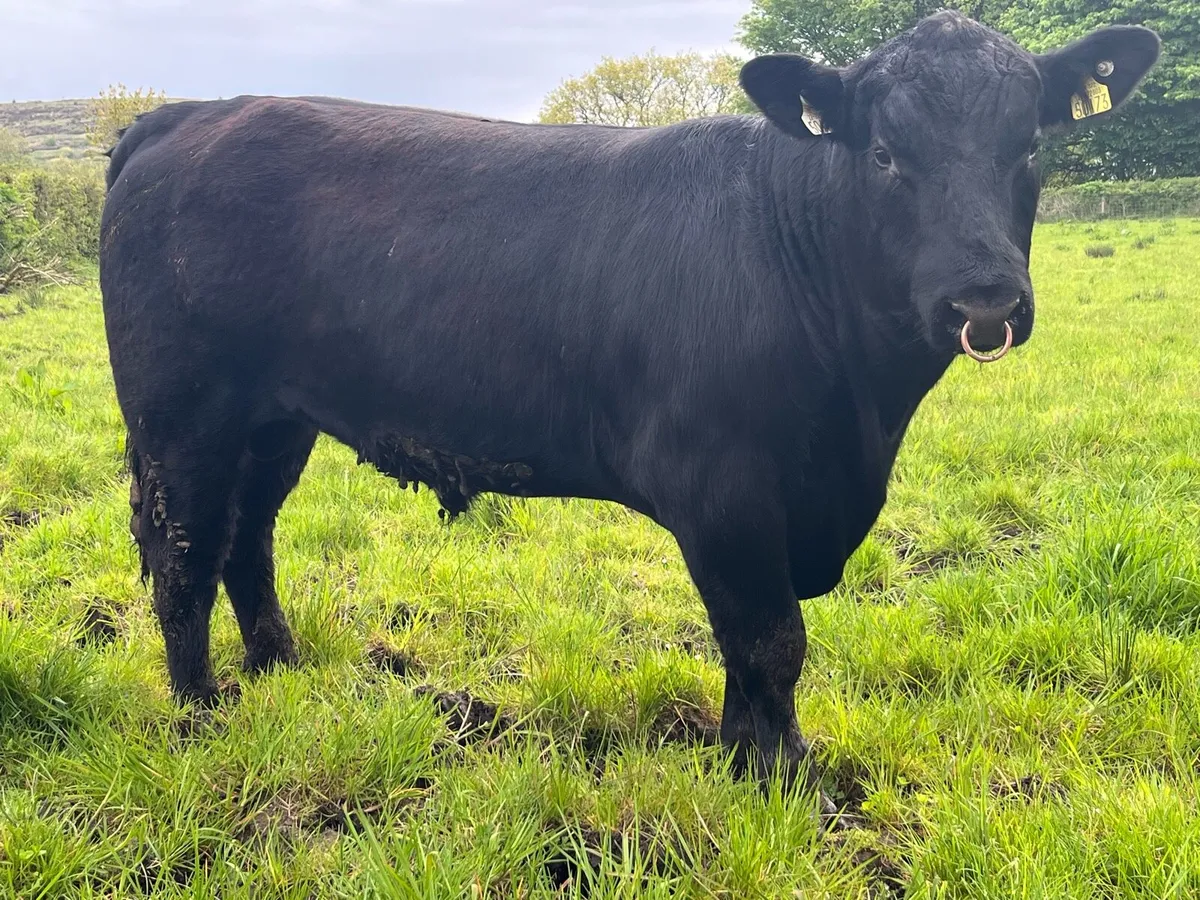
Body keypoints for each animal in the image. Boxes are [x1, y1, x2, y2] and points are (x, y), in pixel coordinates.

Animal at [99, 12, 1158, 809]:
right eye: (887, 154)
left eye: (1030, 147)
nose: (985, 298)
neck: (863, 414)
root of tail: (191, 114)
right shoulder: (724, 488)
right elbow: (771, 639)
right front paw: (786, 779)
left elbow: (744, 643)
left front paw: (739, 759)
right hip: (183, 413)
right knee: (185, 552)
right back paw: (201, 714)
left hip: (277, 417)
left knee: (247, 537)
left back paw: (281, 668)